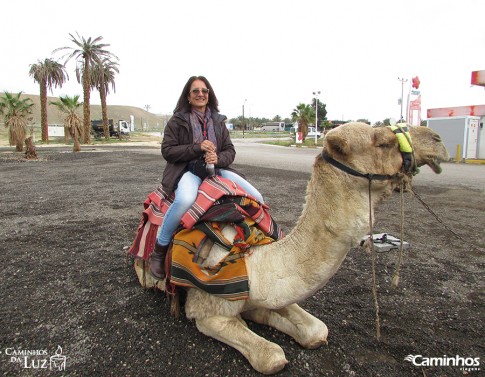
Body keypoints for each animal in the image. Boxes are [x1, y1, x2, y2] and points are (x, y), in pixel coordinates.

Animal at [131, 122, 446, 374]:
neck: (252, 261)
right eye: (383, 142)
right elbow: (272, 357)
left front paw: (265, 315)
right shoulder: (206, 310)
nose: (437, 140)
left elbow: (315, 329)